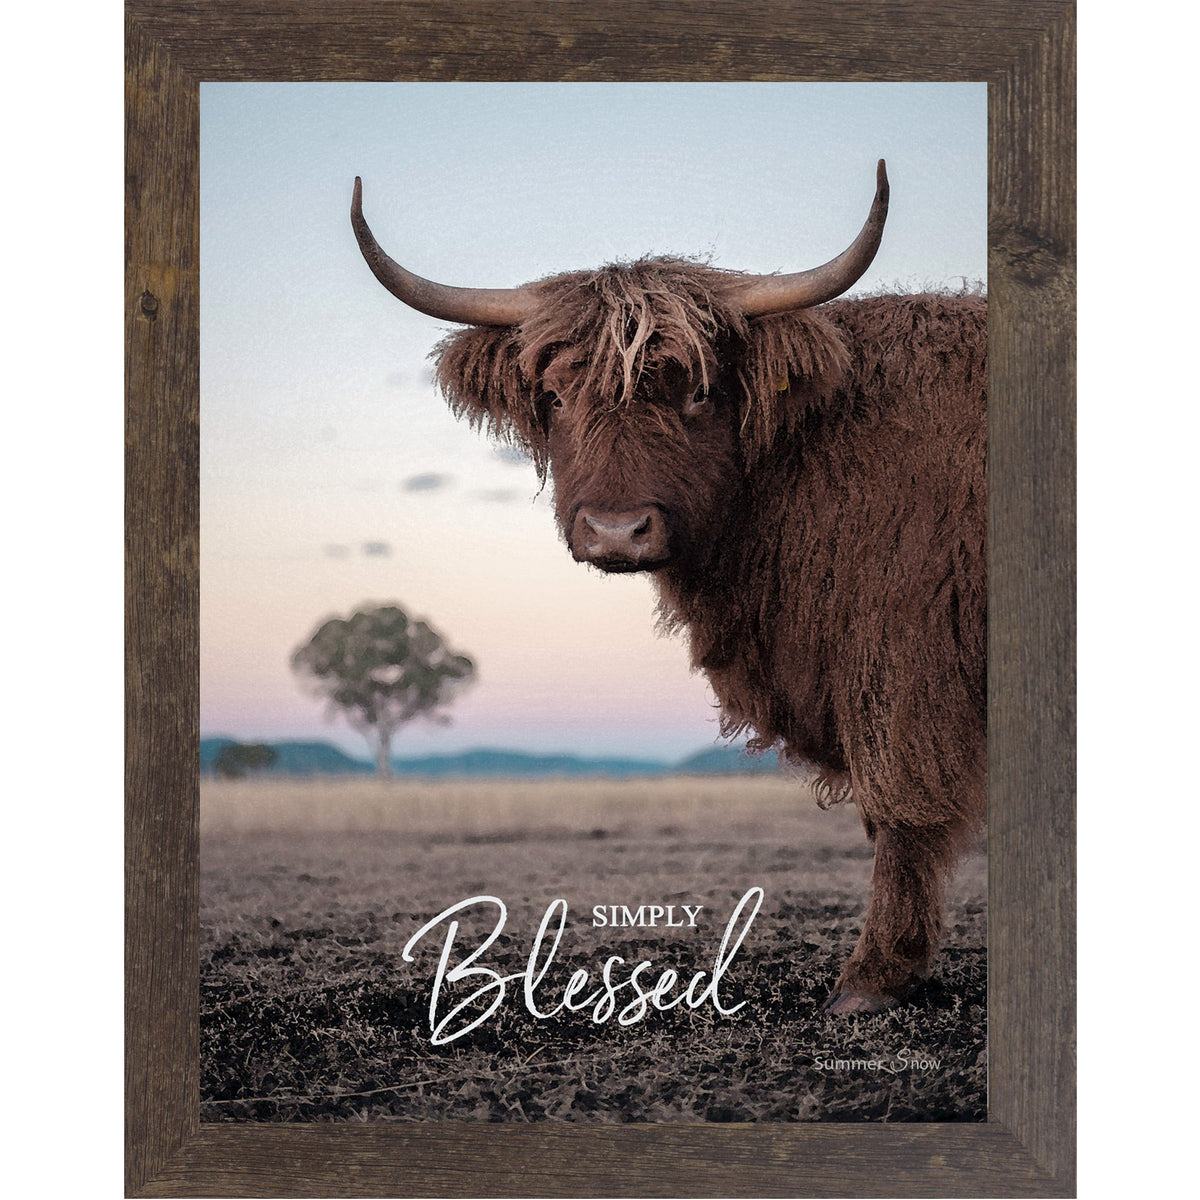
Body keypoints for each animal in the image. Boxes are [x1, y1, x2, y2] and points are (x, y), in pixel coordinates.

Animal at [350, 161, 986, 1014]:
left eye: (697, 392)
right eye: (556, 397)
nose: (617, 531)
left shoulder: (904, 659)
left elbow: (899, 812)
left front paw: (873, 976)